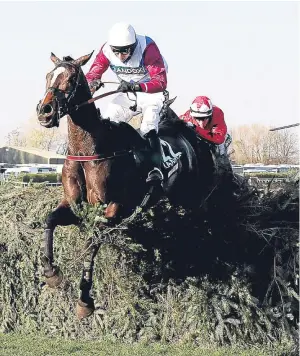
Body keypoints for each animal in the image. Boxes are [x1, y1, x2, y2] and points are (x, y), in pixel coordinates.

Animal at [36, 52, 214, 320]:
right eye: (48, 75)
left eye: (72, 78)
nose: (45, 111)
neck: (90, 151)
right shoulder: (76, 207)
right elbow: (50, 221)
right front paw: (52, 274)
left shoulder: (114, 210)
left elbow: (91, 242)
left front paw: (85, 300)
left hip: (189, 197)